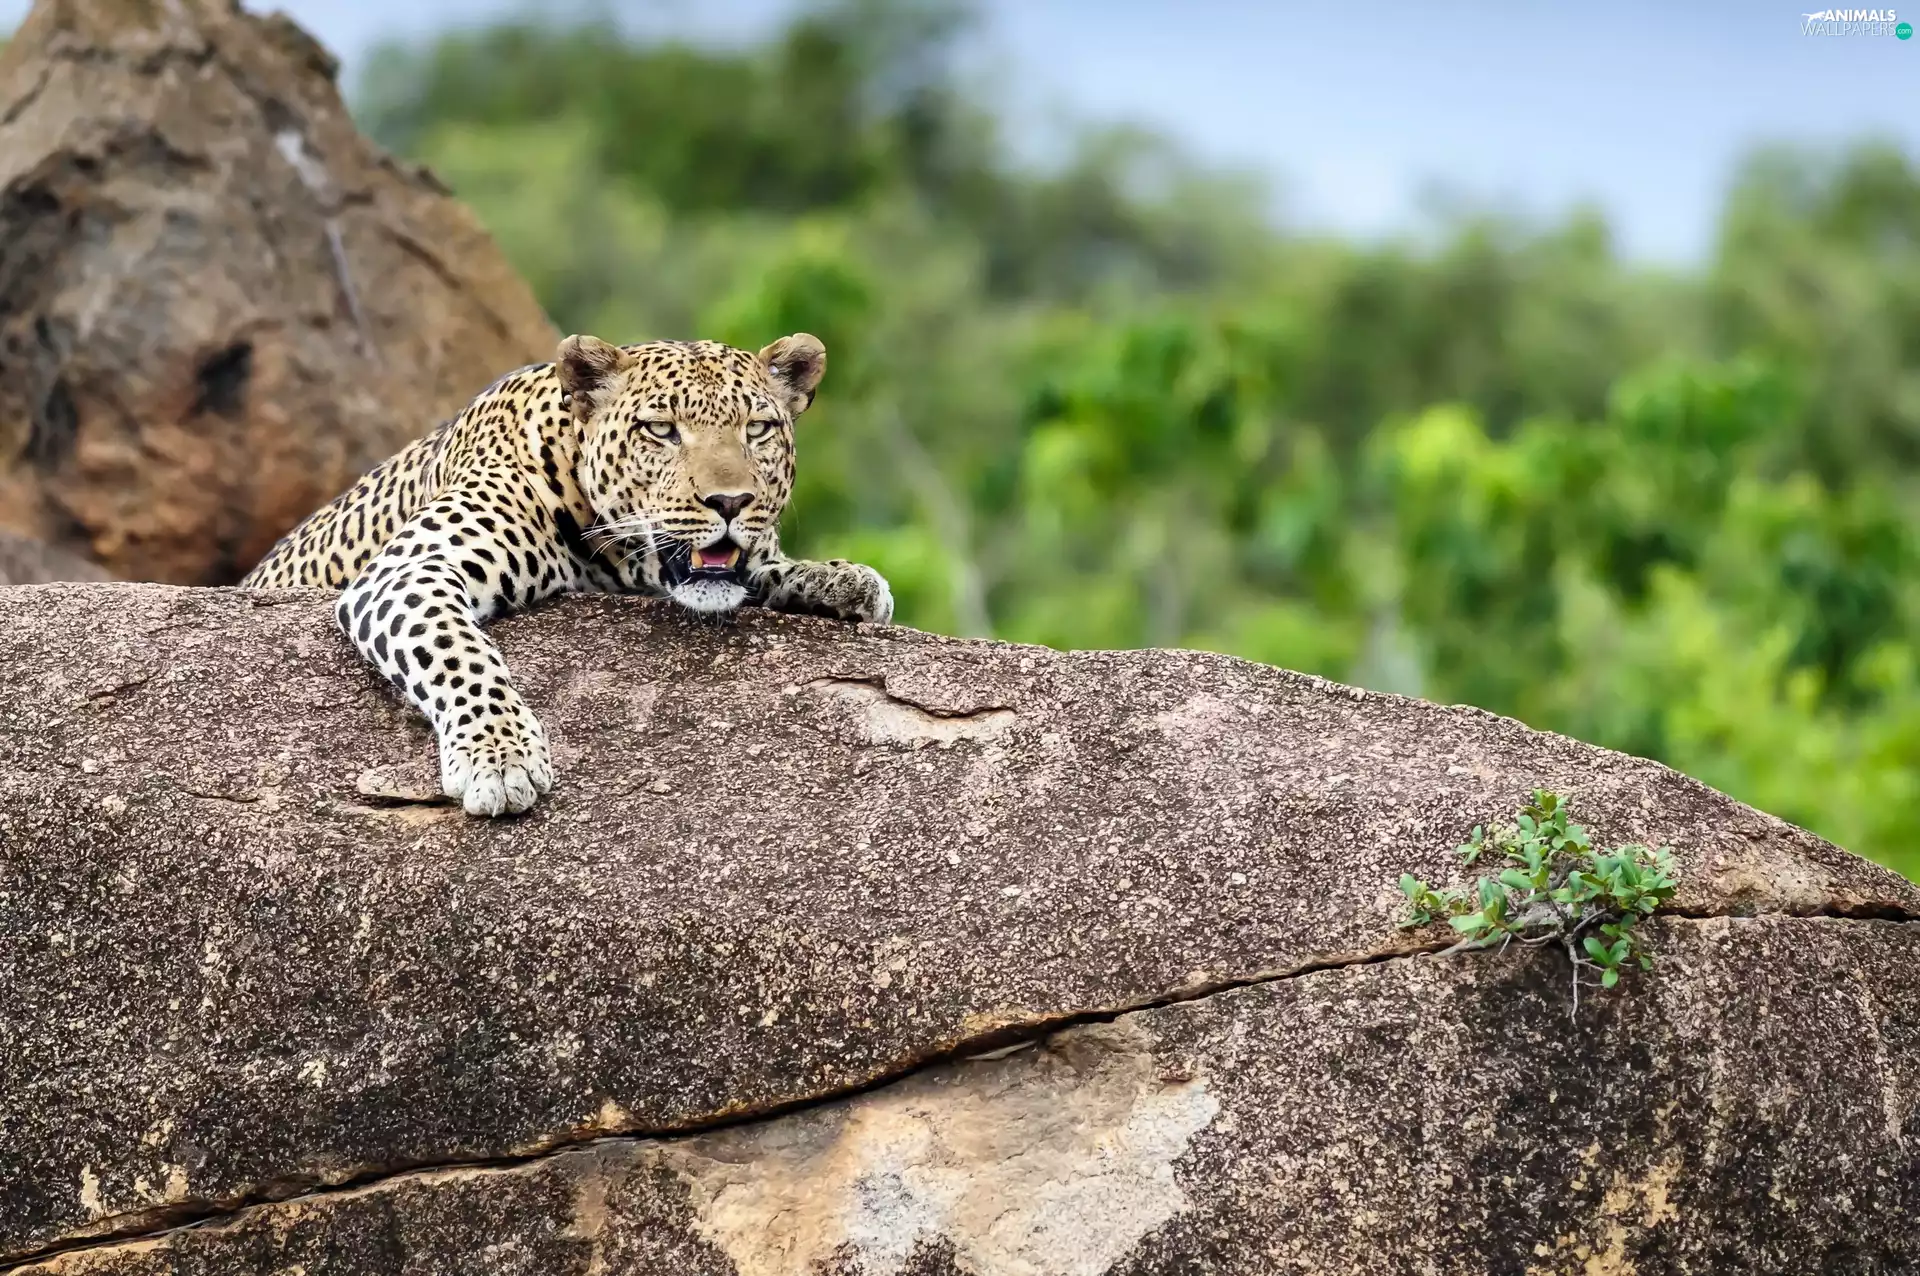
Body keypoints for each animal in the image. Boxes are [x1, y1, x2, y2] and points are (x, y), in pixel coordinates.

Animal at [242, 332, 893, 817]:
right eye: (661, 430)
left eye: (757, 429)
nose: (731, 502)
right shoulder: (411, 567)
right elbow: (459, 654)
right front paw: (498, 757)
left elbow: (769, 567)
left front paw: (844, 580)